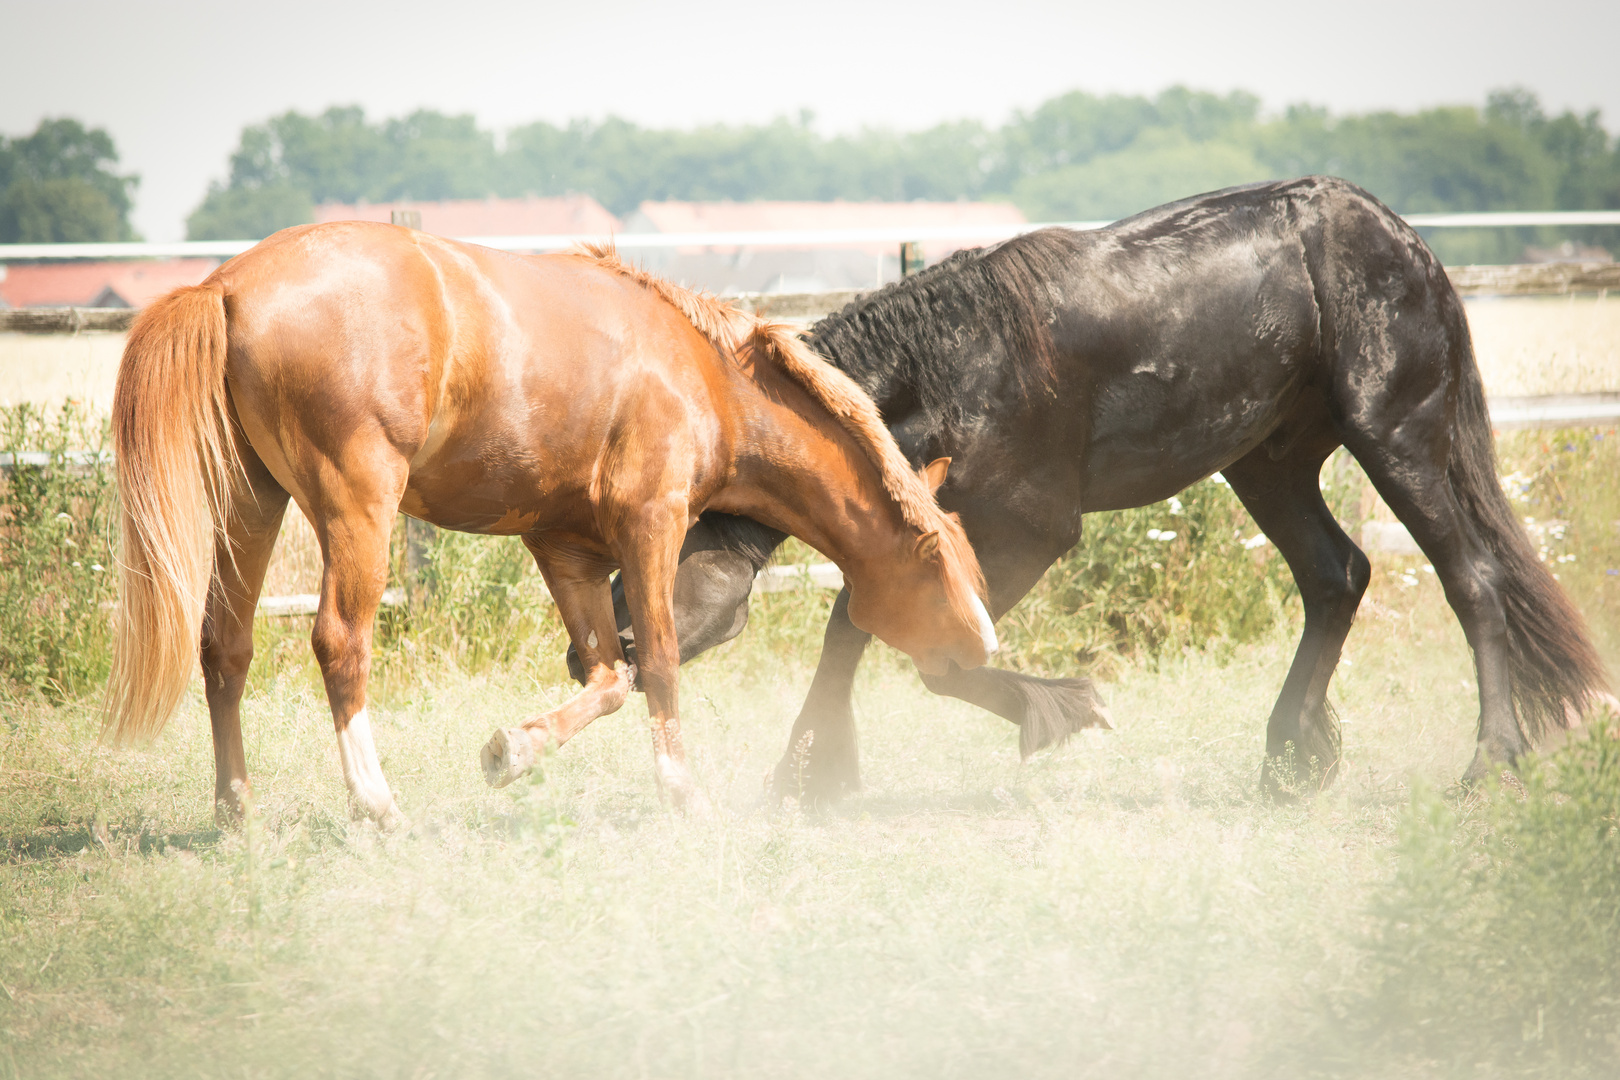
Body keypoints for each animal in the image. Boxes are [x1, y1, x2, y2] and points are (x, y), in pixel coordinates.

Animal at [104, 223, 997, 822]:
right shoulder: (650, 524)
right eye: (934, 563)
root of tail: (228, 285)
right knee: (339, 642)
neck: (701, 375)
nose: (984, 648)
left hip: (252, 504)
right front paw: (682, 793)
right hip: (354, 508)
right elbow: (658, 662)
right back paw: (375, 802)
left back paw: (235, 809)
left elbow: (607, 676)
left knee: (226, 646)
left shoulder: (566, 549)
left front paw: (514, 749)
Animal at [573, 177, 1607, 803]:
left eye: (641, 586)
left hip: (1397, 437)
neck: (954, 365)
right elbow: (856, 630)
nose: (605, 666)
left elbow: (923, 655)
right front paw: (810, 774)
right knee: (1337, 577)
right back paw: (1288, 757)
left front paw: (1061, 710)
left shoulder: (1026, 531)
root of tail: (1401, 236)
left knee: (1472, 580)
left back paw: (1491, 759)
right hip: (1268, 462)